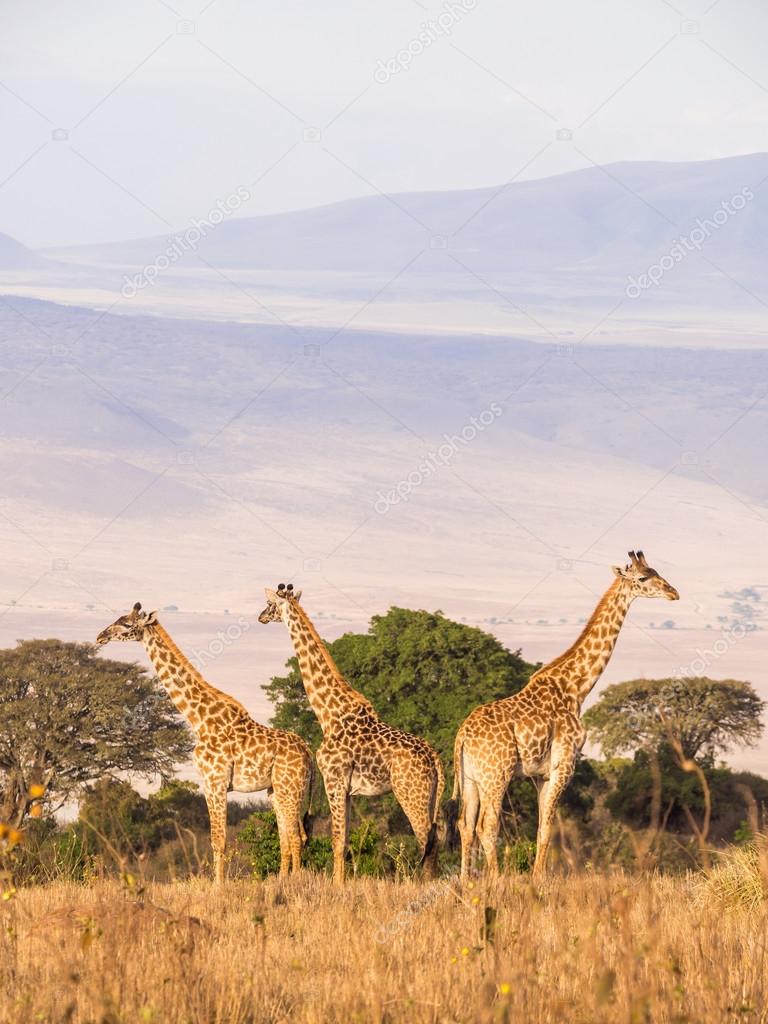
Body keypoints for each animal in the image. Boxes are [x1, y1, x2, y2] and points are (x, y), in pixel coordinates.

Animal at [96, 602, 313, 884]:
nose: (101, 636)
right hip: (277, 790)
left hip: (291, 788)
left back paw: (294, 882)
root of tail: (309, 753)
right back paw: (282, 879)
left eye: (127, 624)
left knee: (296, 837)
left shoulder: (215, 782)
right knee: (289, 836)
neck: (198, 719)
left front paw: (218, 886)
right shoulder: (210, 784)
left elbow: (218, 840)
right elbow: (218, 840)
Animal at [262, 589, 448, 884]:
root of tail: (435, 758)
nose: (261, 617)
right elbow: (346, 839)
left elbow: (337, 840)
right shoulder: (348, 790)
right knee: (437, 837)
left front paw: (336, 886)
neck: (328, 713)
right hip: (430, 796)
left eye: (270, 604)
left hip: (411, 793)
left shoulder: (334, 781)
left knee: (425, 840)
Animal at [450, 552, 679, 880]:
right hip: (496, 775)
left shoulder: (542, 774)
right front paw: (539, 880)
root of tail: (462, 736)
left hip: (471, 778)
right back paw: (494, 879)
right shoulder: (564, 764)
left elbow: (541, 829)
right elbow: (547, 829)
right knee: (487, 826)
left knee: (465, 826)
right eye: (643, 578)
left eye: (656, 571)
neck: (576, 687)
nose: (674, 592)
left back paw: (466, 880)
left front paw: (537, 876)